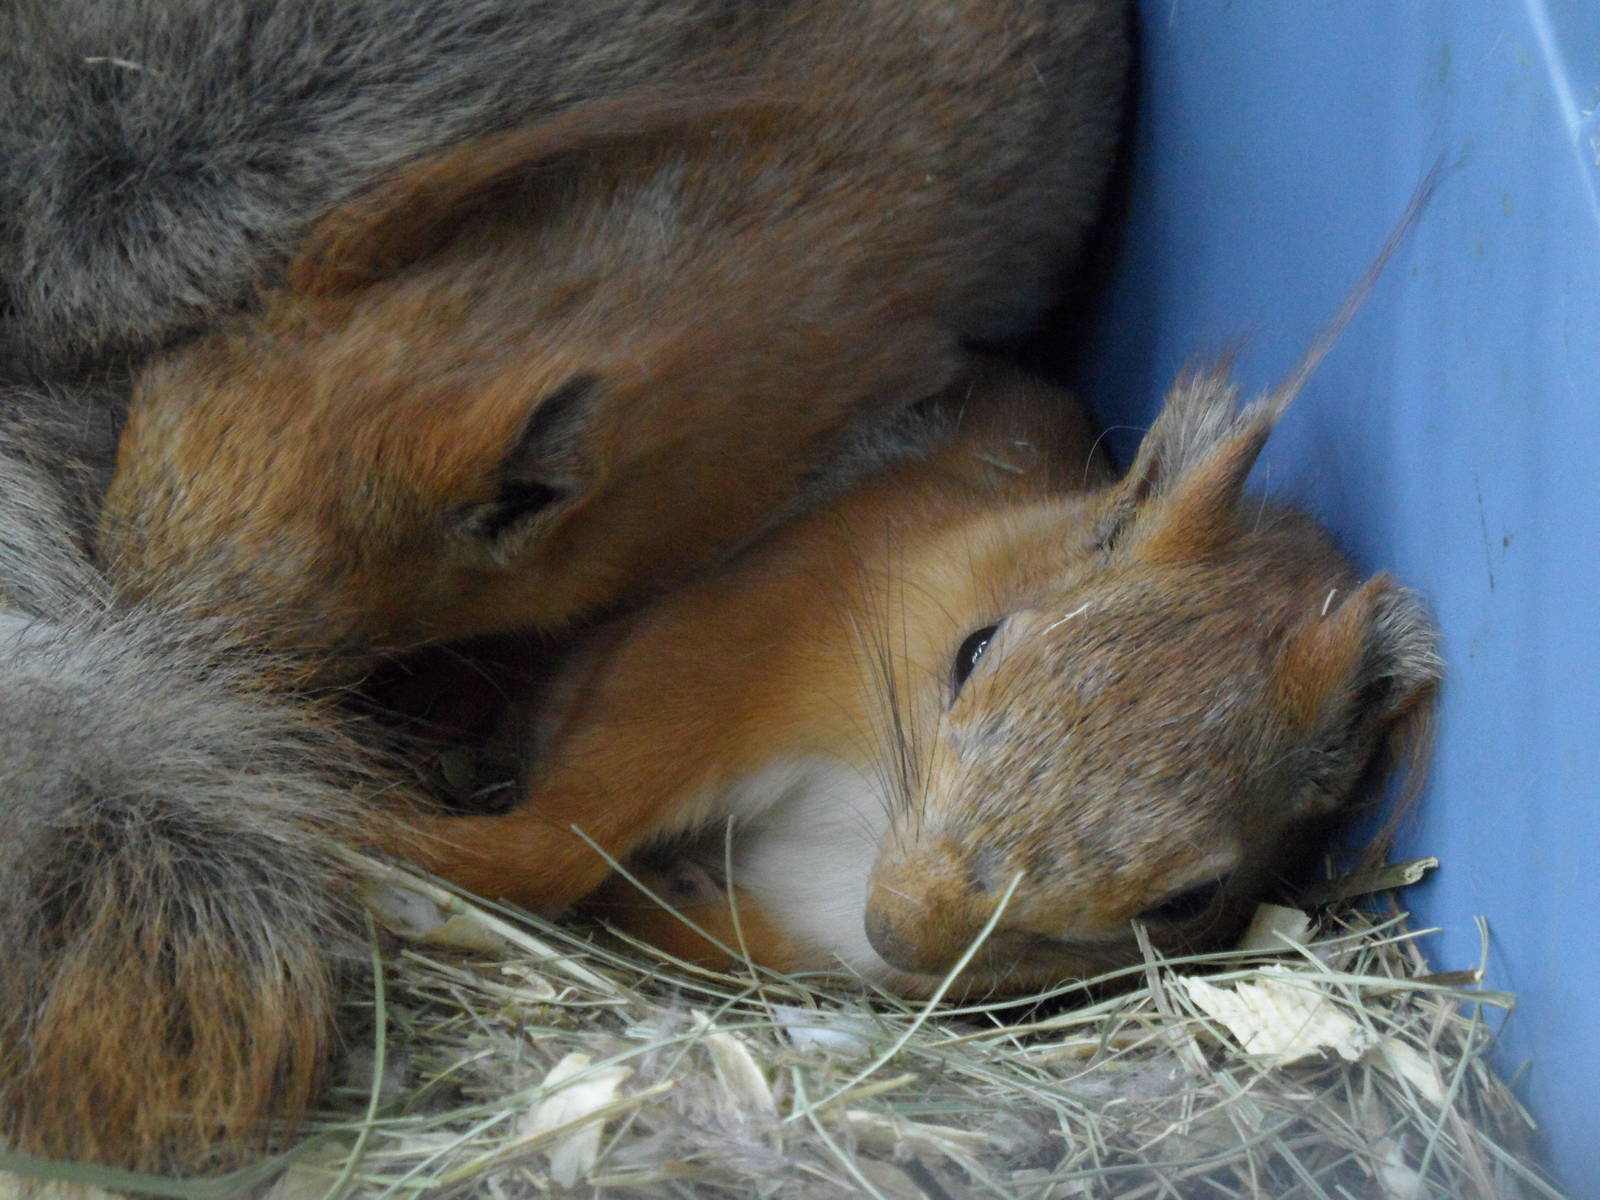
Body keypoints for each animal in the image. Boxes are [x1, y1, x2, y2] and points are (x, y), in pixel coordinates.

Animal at [405, 356, 1441, 996]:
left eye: (1188, 904)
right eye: (975, 650)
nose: (899, 929)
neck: (852, 834)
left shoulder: (814, 942)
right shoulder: (734, 643)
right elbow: (554, 838)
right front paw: (405, 843)